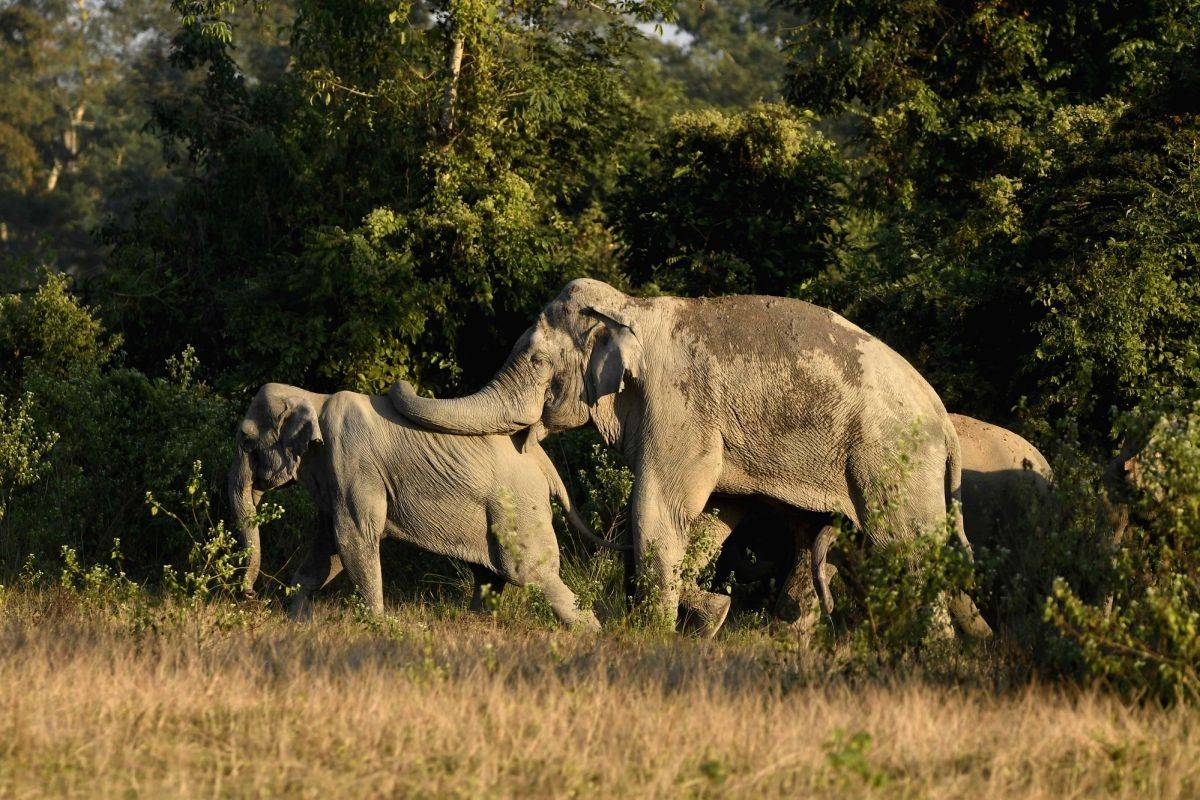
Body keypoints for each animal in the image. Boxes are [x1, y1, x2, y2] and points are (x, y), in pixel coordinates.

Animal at [228, 382, 623, 626]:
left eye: (245, 441)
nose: (248, 595)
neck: (311, 396)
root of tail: (542, 460)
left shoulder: (352, 462)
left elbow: (354, 537)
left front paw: (377, 624)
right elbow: (329, 548)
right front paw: (297, 621)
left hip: (518, 505)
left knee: (528, 572)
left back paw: (591, 633)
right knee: (490, 574)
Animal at [389, 278, 992, 638]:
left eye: (536, 359)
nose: (397, 383)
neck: (632, 307)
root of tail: (943, 419)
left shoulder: (678, 404)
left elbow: (660, 507)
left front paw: (649, 633)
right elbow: (711, 517)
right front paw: (707, 613)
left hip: (890, 457)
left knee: (909, 546)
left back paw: (934, 651)